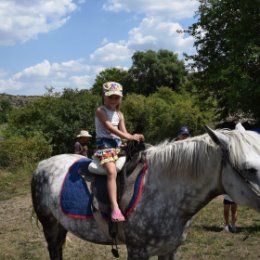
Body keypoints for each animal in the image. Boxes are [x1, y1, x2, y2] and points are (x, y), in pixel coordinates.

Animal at [31, 124, 260, 260]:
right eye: (250, 169)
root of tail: (42, 164)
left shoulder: (169, 249)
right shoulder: (137, 251)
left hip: (61, 224)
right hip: (49, 223)